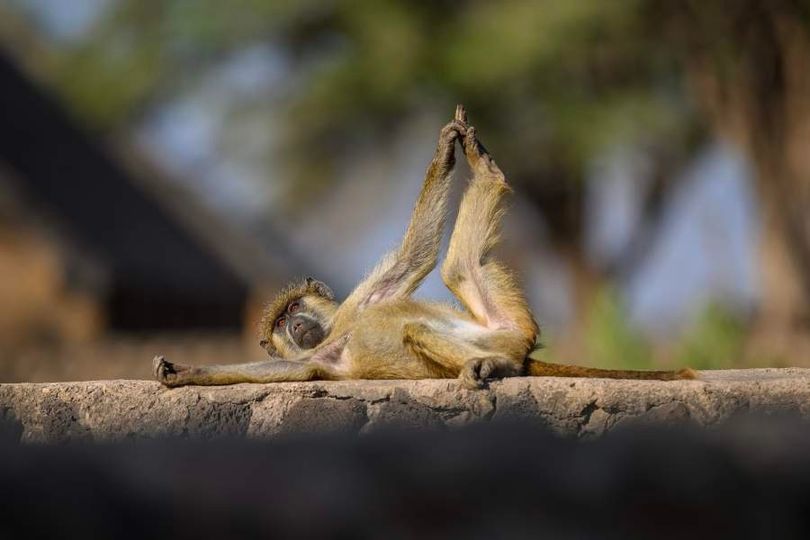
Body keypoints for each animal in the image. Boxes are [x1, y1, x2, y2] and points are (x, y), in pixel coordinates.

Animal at [154, 105, 696, 390]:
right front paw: (181, 371)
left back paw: (482, 168)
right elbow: (281, 370)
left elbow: (415, 256)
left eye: (291, 311)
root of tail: (514, 344)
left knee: (449, 280)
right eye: (283, 325)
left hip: (504, 325)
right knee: (451, 285)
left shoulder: (359, 306)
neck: (337, 333)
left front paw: (442, 155)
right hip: (506, 329)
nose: (296, 326)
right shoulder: (316, 361)